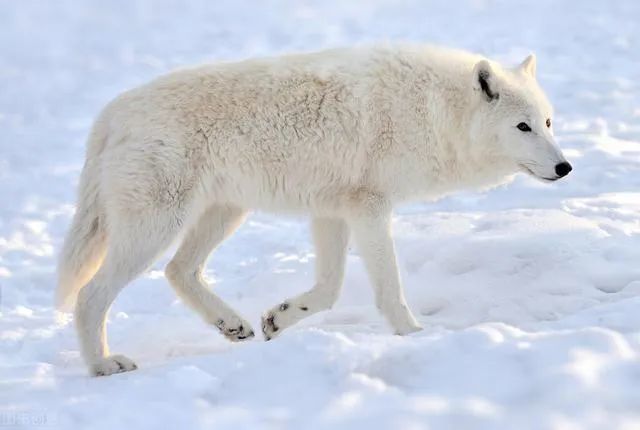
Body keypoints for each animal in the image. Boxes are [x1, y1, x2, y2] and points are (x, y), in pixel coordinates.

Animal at [57, 45, 572, 376]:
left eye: (548, 122)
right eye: (523, 127)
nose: (564, 167)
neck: (431, 110)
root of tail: (110, 114)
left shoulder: (332, 212)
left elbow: (328, 290)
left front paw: (278, 318)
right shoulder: (369, 208)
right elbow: (388, 291)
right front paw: (414, 335)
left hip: (222, 214)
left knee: (178, 271)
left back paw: (233, 325)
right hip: (156, 228)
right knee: (91, 296)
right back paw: (103, 365)